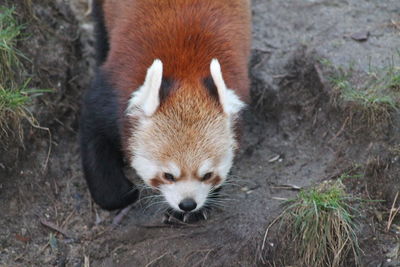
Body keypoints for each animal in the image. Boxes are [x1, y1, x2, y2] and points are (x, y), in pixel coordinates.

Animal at [79, 0, 250, 222]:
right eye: (168, 175)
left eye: (207, 175)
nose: (188, 204)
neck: (187, 74)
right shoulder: (111, 93)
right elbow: (94, 136)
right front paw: (122, 193)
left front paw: (196, 210)